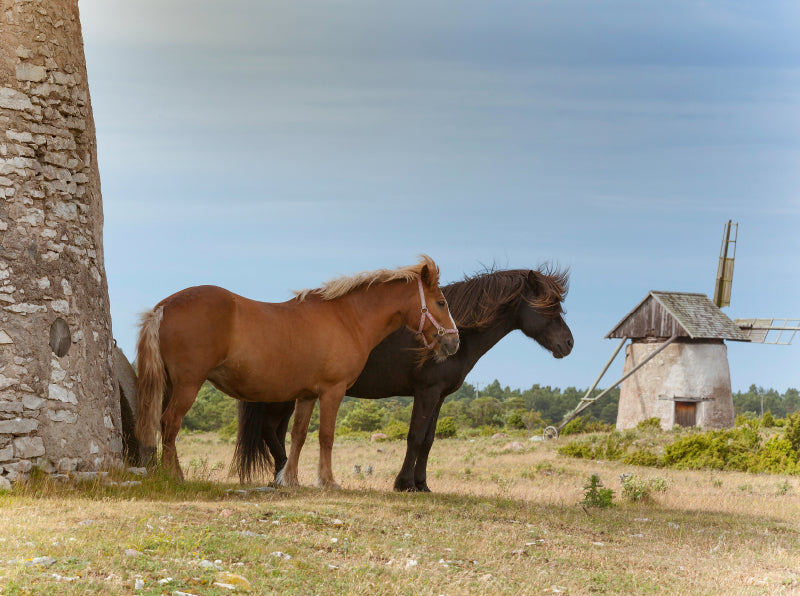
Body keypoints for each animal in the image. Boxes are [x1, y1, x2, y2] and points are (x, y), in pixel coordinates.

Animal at [131, 254, 456, 486]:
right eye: (441, 302)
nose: (454, 342)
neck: (346, 317)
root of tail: (164, 307)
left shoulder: (307, 395)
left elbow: (298, 435)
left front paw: (291, 479)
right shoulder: (332, 391)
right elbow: (326, 436)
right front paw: (327, 481)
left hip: (170, 385)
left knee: (164, 425)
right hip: (188, 384)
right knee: (170, 423)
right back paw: (174, 476)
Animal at [234, 268, 572, 492]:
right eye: (549, 306)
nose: (568, 344)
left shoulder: (439, 396)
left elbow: (429, 440)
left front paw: (422, 484)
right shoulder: (426, 392)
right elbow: (415, 437)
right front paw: (404, 484)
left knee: (276, 432)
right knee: (271, 431)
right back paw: (283, 475)